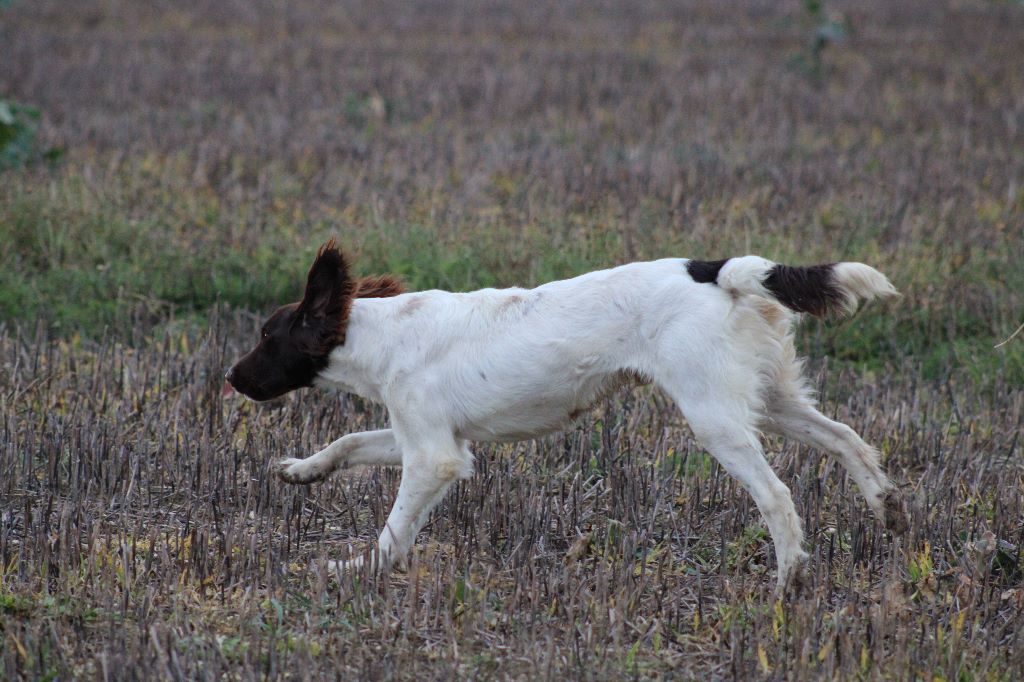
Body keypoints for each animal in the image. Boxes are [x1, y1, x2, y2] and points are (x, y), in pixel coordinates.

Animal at [228, 238, 909, 589]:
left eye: (266, 337)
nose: (231, 377)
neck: (383, 333)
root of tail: (717, 271)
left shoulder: (435, 457)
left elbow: (393, 531)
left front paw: (358, 568)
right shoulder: (428, 437)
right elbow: (345, 443)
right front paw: (301, 471)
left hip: (714, 416)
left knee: (777, 494)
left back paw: (789, 576)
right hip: (772, 400)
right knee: (849, 439)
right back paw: (889, 511)